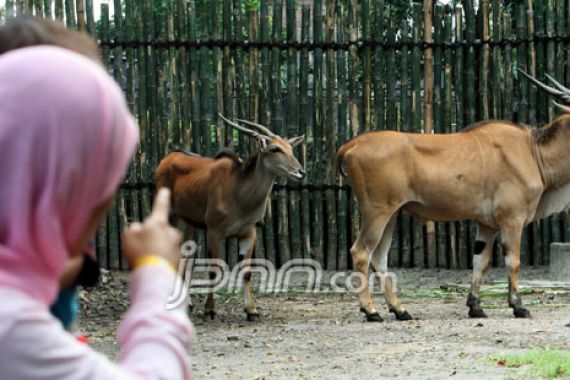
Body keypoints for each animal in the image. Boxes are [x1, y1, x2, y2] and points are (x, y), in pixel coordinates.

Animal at [155, 113, 304, 320]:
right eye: (275, 148)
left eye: (291, 148)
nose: (301, 172)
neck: (239, 191)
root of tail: (168, 158)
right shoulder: (214, 232)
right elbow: (213, 271)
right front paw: (210, 309)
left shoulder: (249, 233)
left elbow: (246, 272)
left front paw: (252, 310)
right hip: (172, 217)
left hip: (188, 223)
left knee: (185, 255)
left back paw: (188, 303)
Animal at [336, 70, 568, 320]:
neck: (534, 151)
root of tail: (351, 144)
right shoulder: (512, 219)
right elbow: (513, 261)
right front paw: (519, 306)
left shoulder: (487, 226)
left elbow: (480, 262)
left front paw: (475, 307)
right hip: (377, 212)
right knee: (361, 253)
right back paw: (371, 311)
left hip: (392, 214)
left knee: (379, 258)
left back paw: (400, 310)